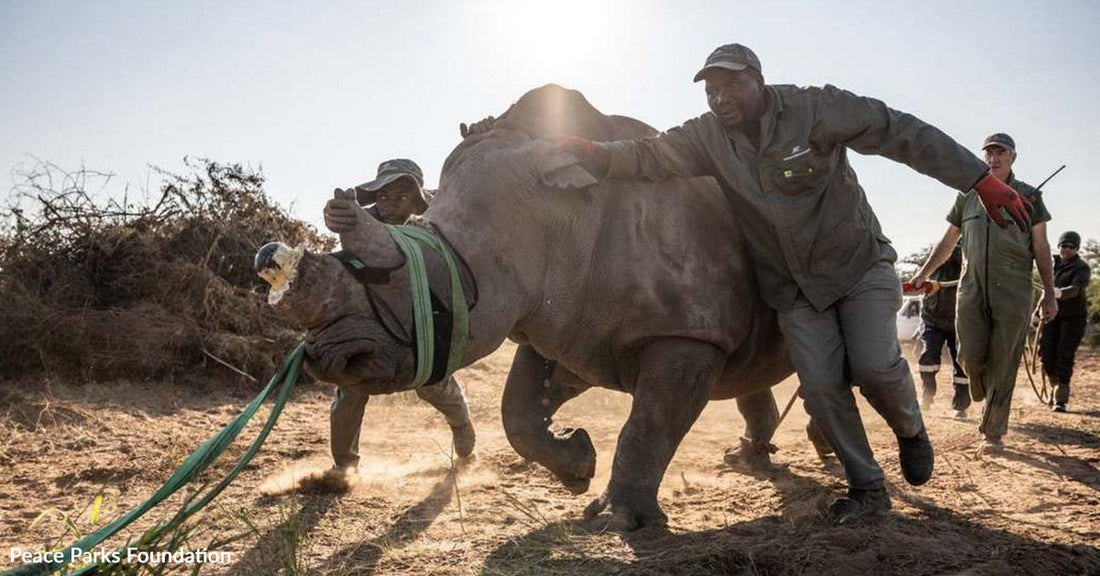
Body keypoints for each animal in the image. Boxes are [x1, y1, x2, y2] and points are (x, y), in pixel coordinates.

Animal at [255, 84, 794, 530]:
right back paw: (747, 458)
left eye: (423, 279)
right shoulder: (563, 316)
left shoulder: (684, 332)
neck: (559, 215)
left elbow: (648, 426)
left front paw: (615, 520)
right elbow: (517, 412)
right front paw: (578, 465)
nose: (327, 360)